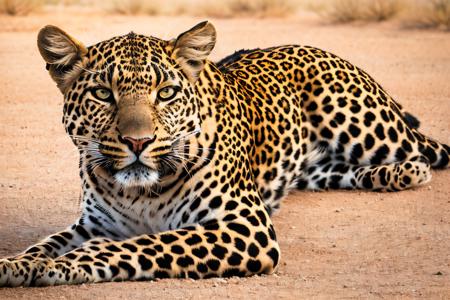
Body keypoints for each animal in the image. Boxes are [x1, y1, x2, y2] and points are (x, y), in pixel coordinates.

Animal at [1, 19, 448, 288]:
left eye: (166, 93)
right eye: (102, 94)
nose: (138, 142)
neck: (138, 192)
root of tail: (317, 47)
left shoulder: (245, 226)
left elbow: (140, 244)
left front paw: (51, 266)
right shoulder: (93, 224)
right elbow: (46, 244)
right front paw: (19, 265)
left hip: (370, 127)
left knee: (428, 152)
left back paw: (405, 173)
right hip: (312, 166)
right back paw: (378, 176)